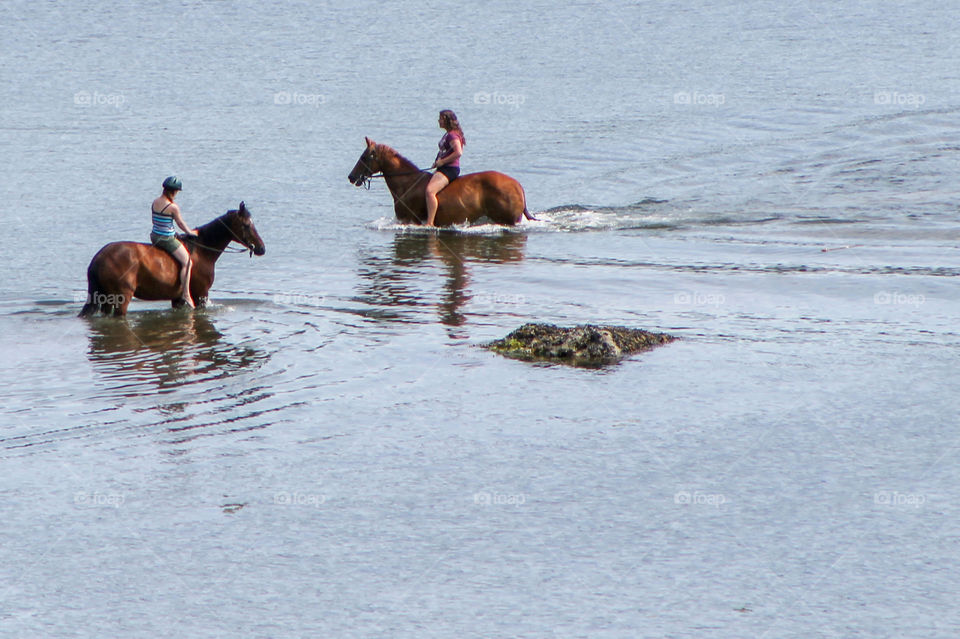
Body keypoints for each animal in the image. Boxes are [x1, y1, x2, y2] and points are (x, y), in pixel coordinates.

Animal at [79, 201, 265, 317]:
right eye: (247, 225)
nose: (261, 248)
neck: (202, 250)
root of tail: (99, 257)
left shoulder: (177, 299)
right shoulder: (201, 294)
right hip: (121, 298)